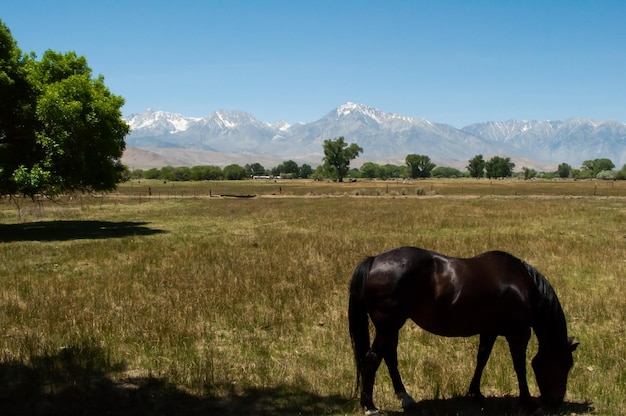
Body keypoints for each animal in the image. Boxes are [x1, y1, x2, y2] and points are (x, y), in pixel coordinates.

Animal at [346, 245, 576, 414]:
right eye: (565, 364)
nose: (556, 403)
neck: (522, 284)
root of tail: (374, 260)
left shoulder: (489, 331)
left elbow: (482, 359)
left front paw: (475, 393)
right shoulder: (518, 333)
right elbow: (520, 366)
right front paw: (527, 401)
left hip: (392, 326)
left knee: (389, 357)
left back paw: (405, 398)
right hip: (388, 325)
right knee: (373, 358)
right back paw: (369, 406)